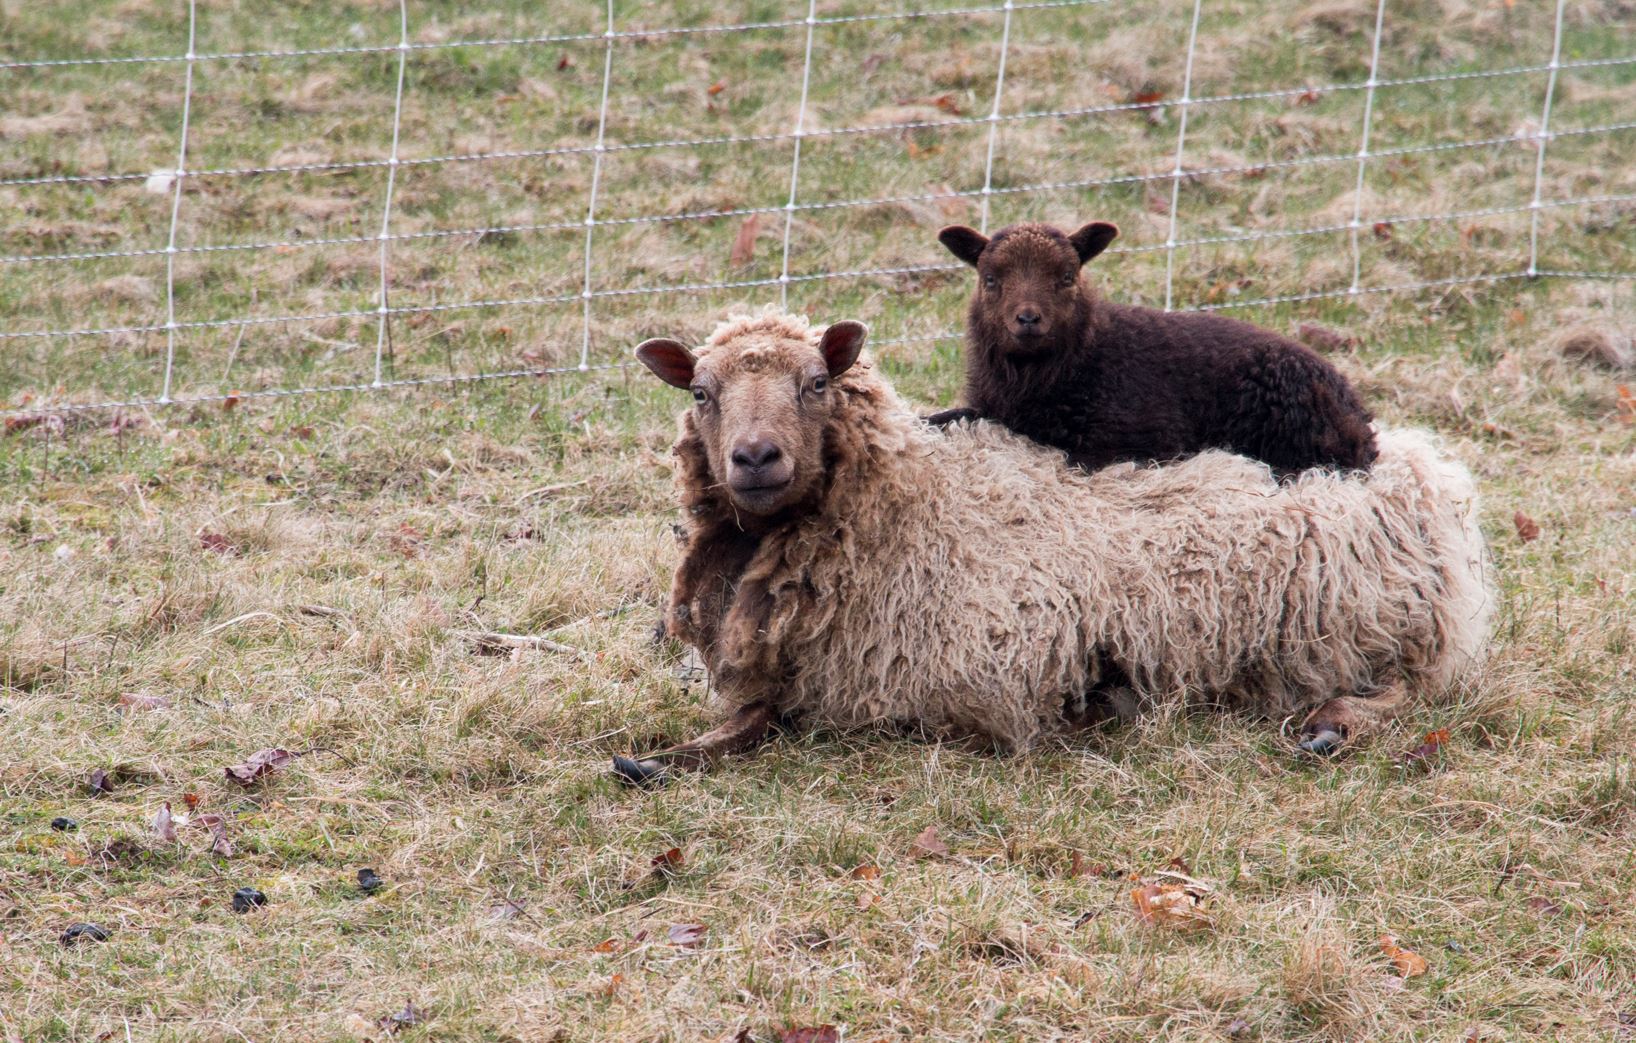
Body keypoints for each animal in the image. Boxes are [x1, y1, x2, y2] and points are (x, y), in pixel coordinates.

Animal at [615, 310, 1498, 784]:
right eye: (702, 392)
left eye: (816, 384)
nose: (755, 457)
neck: (910, 503)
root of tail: (1412, 467)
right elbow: (752, 716)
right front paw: (655, 759)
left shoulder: (962, 681)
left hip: (1371, 628)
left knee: (1413, 691)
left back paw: (1330, 725)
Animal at [929, 225, 1374, 477]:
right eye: (989, 278)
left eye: (1068, 276)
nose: (1027, 319)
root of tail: (1358, 415)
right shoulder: (989, 409)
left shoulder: (1147, 437)